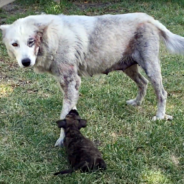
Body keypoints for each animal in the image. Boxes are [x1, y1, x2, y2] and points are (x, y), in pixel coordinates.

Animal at [0, 12, 183, 145]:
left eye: (30, 42)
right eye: (15, 44)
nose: (25, 62)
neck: (51, 39)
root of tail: (149, 18)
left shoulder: (71, 82)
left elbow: (64, 114)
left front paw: (62, 140)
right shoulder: (66, 85)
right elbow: (69, 112)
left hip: (150, 68)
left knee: (162, 93)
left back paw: (160, 116)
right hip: (129, 69)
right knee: (143, 83)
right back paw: (136, 103)